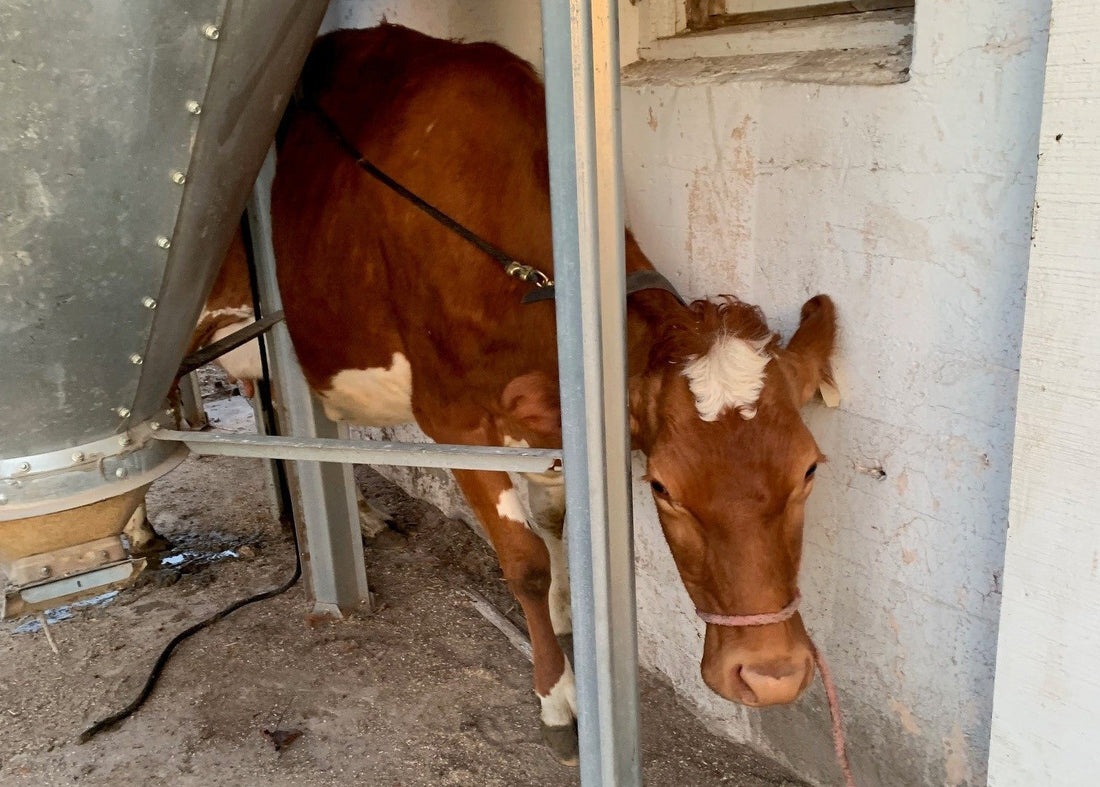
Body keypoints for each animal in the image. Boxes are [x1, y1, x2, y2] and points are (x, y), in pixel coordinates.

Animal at [191, 24, 838, 764]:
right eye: (663, 487)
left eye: (809, 469)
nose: (771, 673)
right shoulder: (453, 418)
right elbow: (522, 559)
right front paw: (559, 699)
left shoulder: (554, 416)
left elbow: (556, 523)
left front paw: (564, 608)